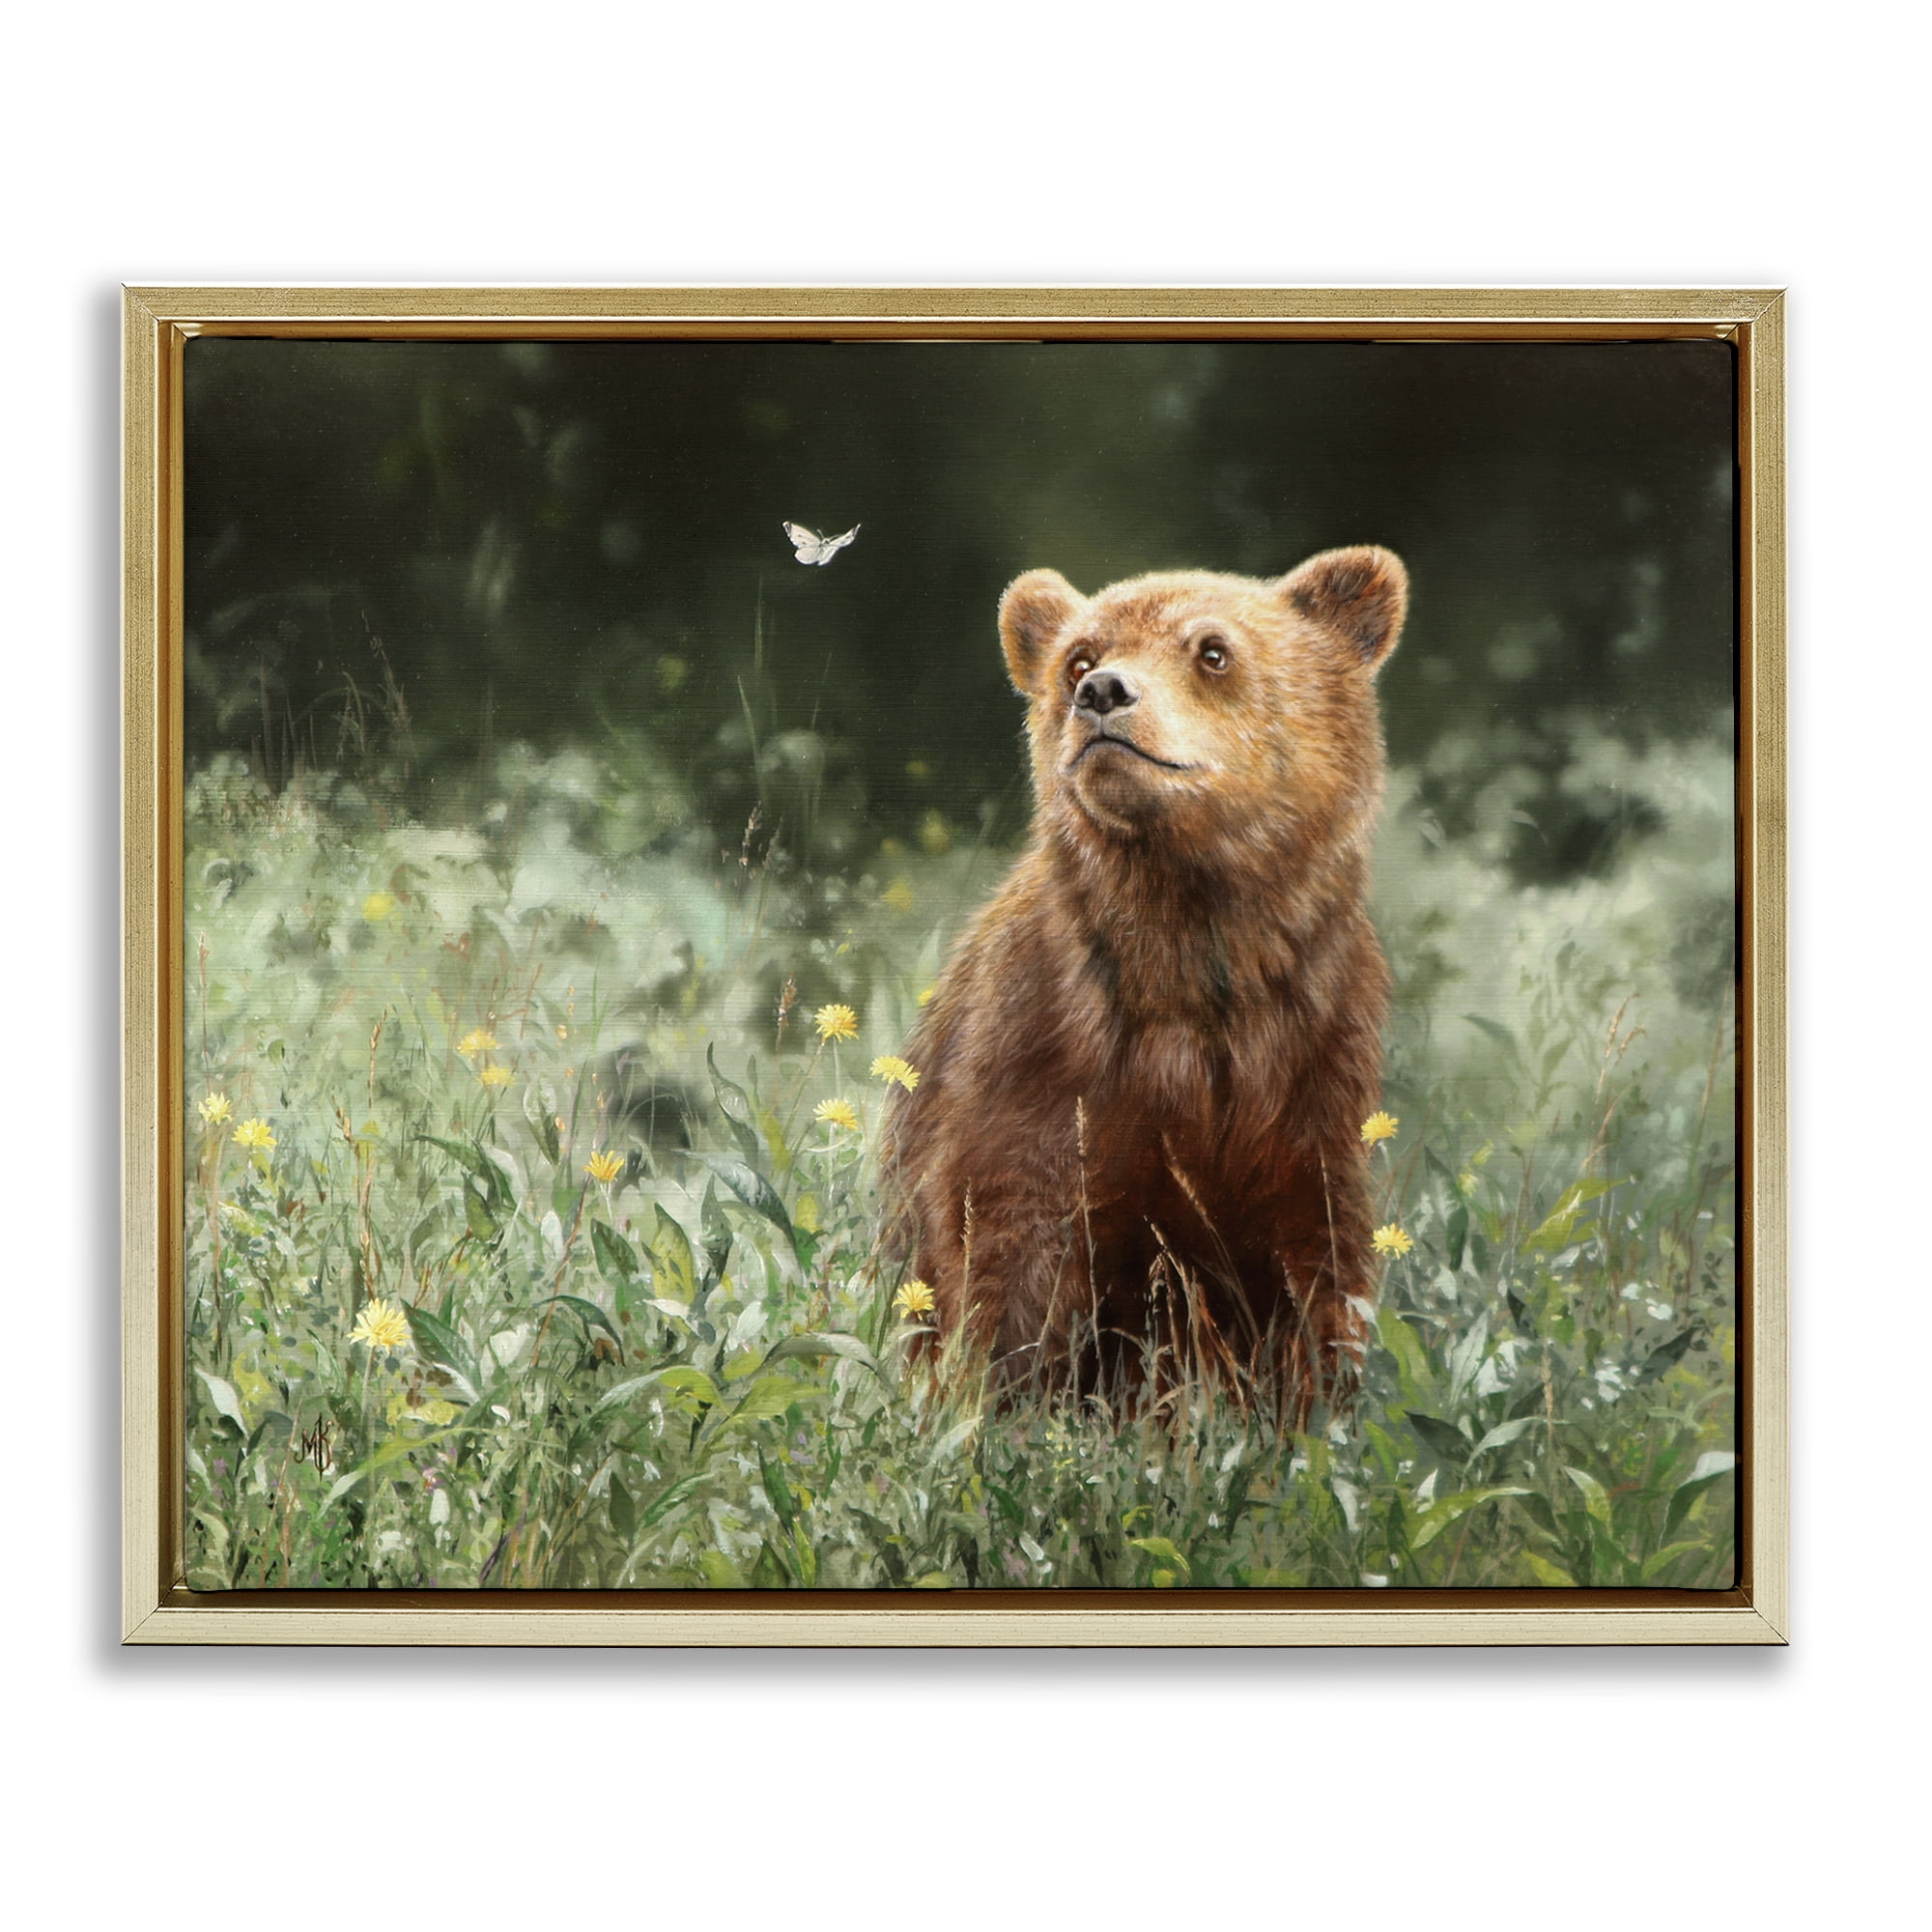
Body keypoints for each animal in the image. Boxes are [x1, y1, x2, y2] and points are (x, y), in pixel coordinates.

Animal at [881, 545, 1407, 1418]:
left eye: (1213, 650)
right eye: (1078, 656)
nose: (1102, 692)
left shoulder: (1310, 1056)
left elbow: (1312, 1261)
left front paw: (1306, 1408)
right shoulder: (1042, 1051)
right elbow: (1008, 1245)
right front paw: (1009, 1403)